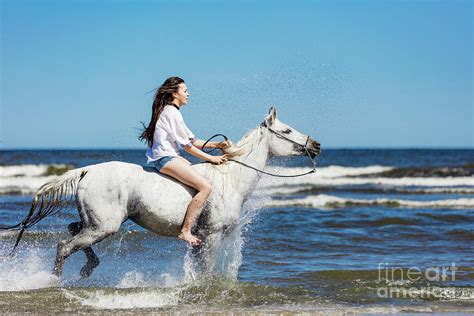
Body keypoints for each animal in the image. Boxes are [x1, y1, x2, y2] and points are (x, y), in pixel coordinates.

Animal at [7, 107, 320, 278]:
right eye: (287, 130)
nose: (316, 145)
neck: (231, 179)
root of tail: (88, 171)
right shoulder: (212, 236)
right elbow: (206, 272)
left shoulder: (201, 240)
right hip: (104, 226)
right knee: (64, 246)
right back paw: (56, 281)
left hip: (95, 223)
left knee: (73, 231)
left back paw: (88, 268)